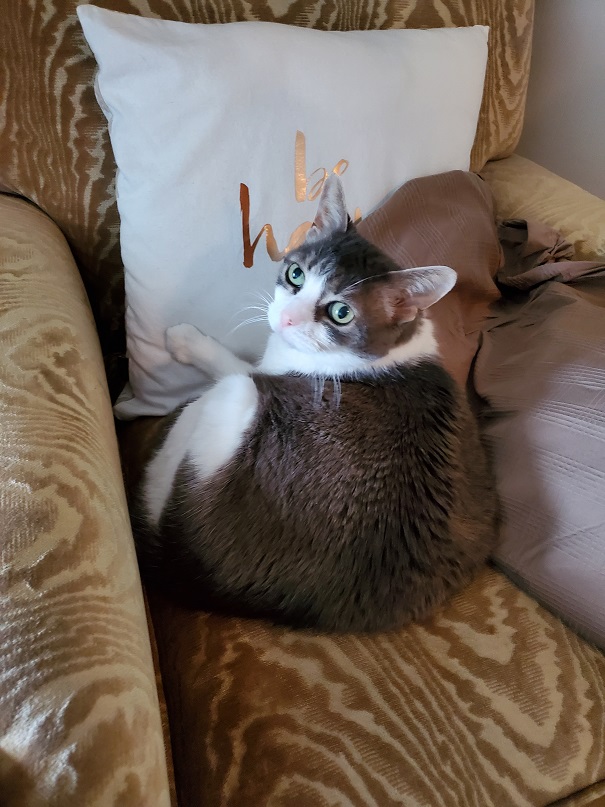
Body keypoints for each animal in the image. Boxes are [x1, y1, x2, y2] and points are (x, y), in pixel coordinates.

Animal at [131, 175, 496, 632]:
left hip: (235, 399)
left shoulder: (269, 374)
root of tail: (186, 570)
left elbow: (233, 361)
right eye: (295, 274)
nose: (286, 320)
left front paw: (186, 340)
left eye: (341, 313)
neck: (384, 353)